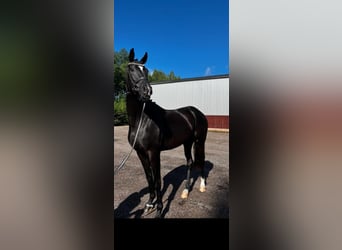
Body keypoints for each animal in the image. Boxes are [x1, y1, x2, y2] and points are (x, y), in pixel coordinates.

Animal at [124, 48, 207, 217]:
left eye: (146, 70)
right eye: (132, 69)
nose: (147, 91)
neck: (142, 120)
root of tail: (196, 112)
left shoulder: (154, 152)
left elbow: (157, 181)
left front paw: (159, 210)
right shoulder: (140, 153)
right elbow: (149, 178)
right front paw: (149, 204)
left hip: (199, 141)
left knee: (201, 160)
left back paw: (202, 186)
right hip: (187, 142)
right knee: (190, 162)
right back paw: (185, 191)